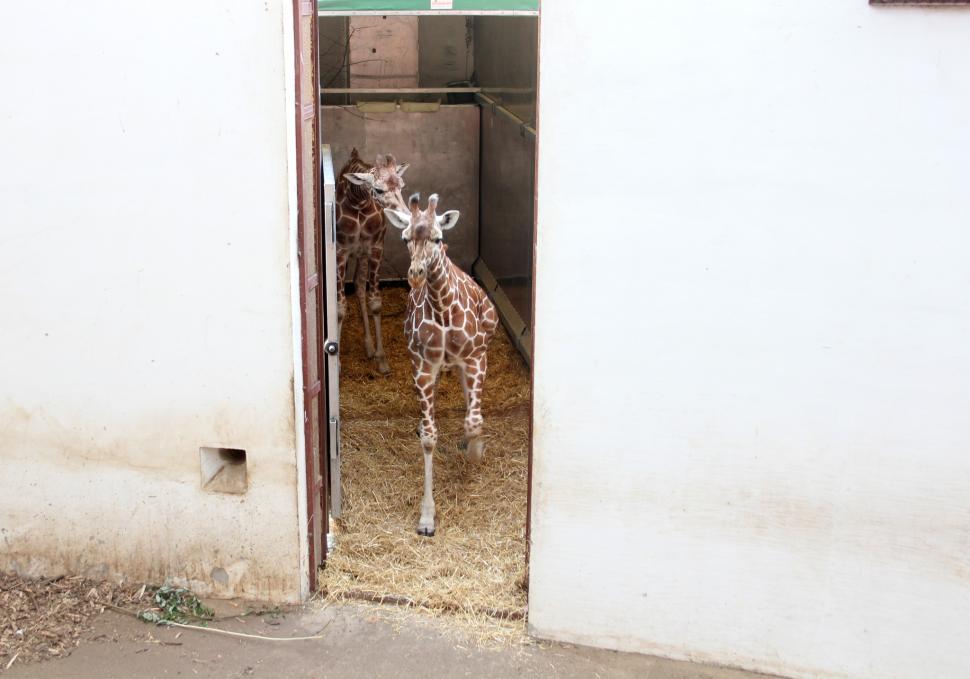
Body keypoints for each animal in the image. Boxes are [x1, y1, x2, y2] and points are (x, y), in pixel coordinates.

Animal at [335, 148, 410, 374]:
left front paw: (381, 358)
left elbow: (375, 303)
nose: (405, 217)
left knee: (359, 286)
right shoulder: (340, 252)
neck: (358, 201)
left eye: (402, 186)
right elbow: (340, 307)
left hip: (361, 255)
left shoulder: (376, 248)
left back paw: (368, 346)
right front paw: (337, 364)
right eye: (377, 189)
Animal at [384, 193, 499, 537]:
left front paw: (475, 453)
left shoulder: (475, 358)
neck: (443, 309)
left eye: (437, 237)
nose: (417, 274)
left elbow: (474, 421)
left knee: (470, 404)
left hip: (475, 357)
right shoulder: (423, 368)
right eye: (405, 237)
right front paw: (426, 518)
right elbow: (429, 439)